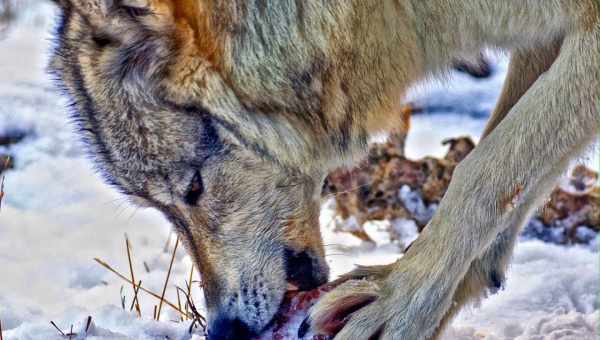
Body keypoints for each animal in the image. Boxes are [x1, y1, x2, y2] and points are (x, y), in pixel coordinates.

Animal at [48, 0, 600, 338]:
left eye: (194, 188)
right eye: (162, 208)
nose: (226, 330)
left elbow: (482, 171)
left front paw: (395, 301)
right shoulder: (544, 36)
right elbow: (508, 171)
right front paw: (443, 300)